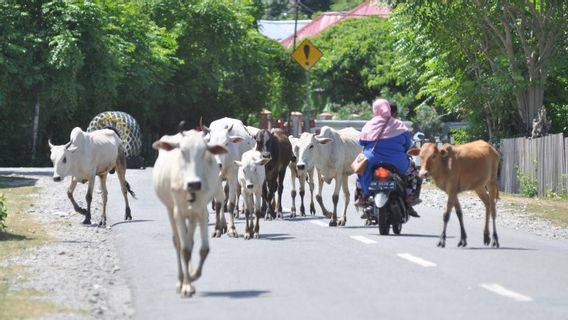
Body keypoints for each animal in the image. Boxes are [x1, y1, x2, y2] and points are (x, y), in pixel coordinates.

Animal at [153, 129, 229, 296]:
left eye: (204, 152)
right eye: (182, 151)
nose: (194, 184)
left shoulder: (201, 213)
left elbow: (204, 249)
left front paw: (193, 276)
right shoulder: (178, 213)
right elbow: (184, 249)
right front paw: (186, 286)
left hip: (193, 216)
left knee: (190, 241)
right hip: (170, 210)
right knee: (178, 243)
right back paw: (180, 280)